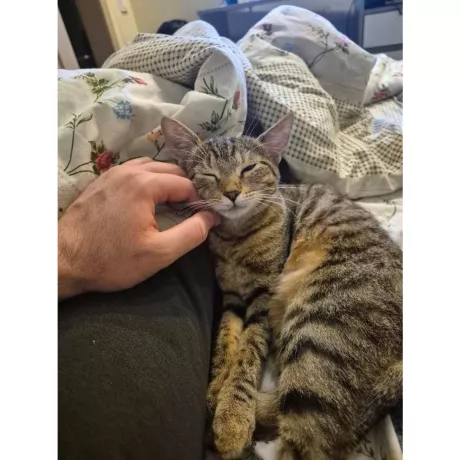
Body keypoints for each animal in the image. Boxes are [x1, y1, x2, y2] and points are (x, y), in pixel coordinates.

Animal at [161, 114, 402, 460]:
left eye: (249, 168)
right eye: (209, 174)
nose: (231, 193)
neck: (235, 238)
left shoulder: (263, 297)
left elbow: (247, 355)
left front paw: (233, 413)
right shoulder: (232, 298)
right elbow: (225, 343)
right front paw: (217, 387)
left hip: (319, 321)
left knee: (317, 433)